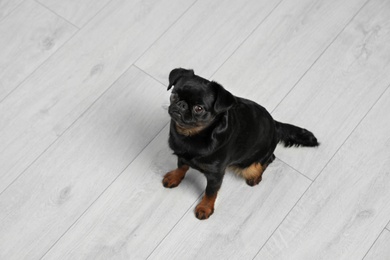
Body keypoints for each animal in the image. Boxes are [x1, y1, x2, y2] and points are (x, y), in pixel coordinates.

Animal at [163, 67, 318, 219]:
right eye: (174, 95)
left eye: (198, 108)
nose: (181, 104)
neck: (191, 134)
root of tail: (274, 124)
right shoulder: (182, 155)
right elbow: (182, 166)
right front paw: (174, 177)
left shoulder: (216, 175)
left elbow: (210, 192)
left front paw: (205, 208)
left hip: (249, 165)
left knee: (268, 160)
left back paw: (255, 177)